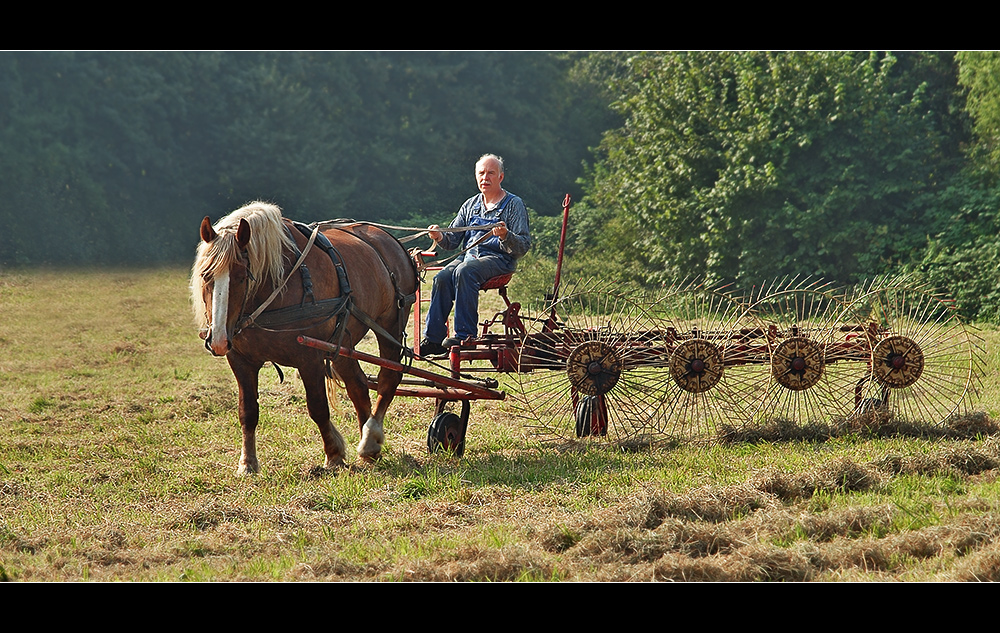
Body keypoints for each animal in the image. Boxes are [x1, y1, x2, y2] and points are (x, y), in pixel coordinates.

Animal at [189, 200, 416, 472]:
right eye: (206, 275)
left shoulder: (310, 358)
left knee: (388, 377)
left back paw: (371, 436)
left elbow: (318, 407)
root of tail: (389, 239)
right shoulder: (240, 360)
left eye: (243, 277)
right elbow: (247, 411)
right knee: (358, 386)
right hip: (343, 341)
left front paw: (334, 455)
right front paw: (247, 463)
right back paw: (368, 446)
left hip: (390, 323)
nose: (219, 340)